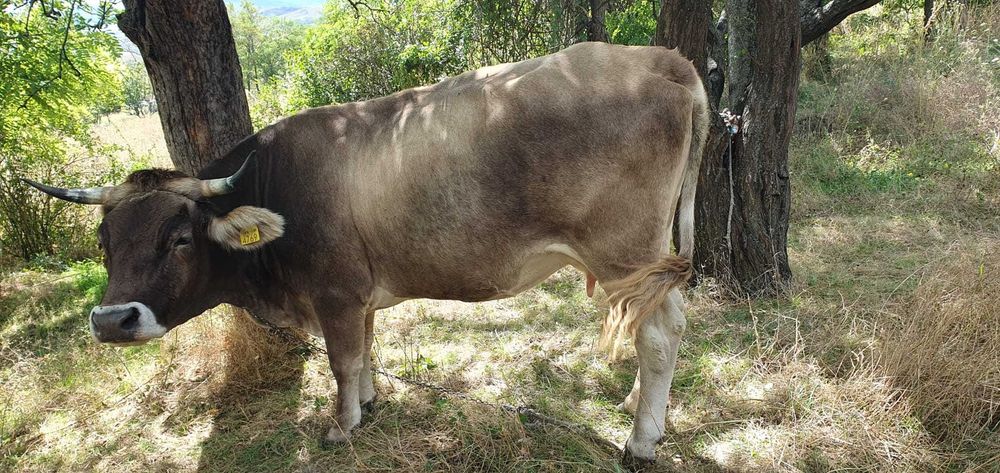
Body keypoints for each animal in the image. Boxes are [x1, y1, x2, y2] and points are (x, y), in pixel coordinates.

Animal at [25, 42, 708, 464]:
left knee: (657, 335)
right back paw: (636, 406)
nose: (111, 321)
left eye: (180, 238)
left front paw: (342, 424)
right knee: (666, 326)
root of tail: (659, 58)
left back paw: (640, 442)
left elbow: (341, 361)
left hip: (625, 253)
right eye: (104, 241)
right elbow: (366, 349)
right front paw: (372, 402)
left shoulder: (334, 293)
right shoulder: (359, 295)